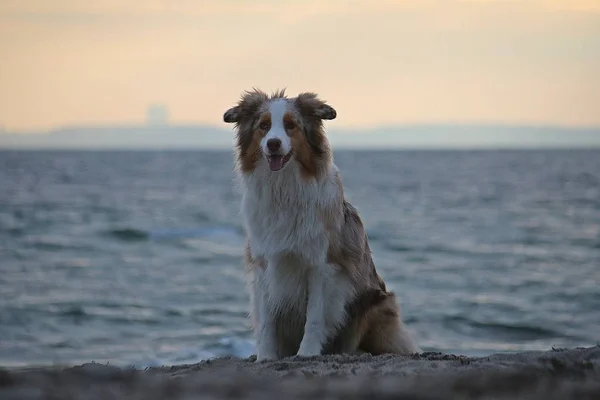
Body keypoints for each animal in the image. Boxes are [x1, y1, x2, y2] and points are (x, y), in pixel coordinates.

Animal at [223, 89, 420, 360]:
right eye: (263, 126)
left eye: (291, 125)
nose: (273, 143)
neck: (283, 189)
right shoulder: (265, 265)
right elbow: (266, 322)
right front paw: (266, 357)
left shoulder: (324, 267)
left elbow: (315, 318)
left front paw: (306, 353)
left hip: (376, 305)